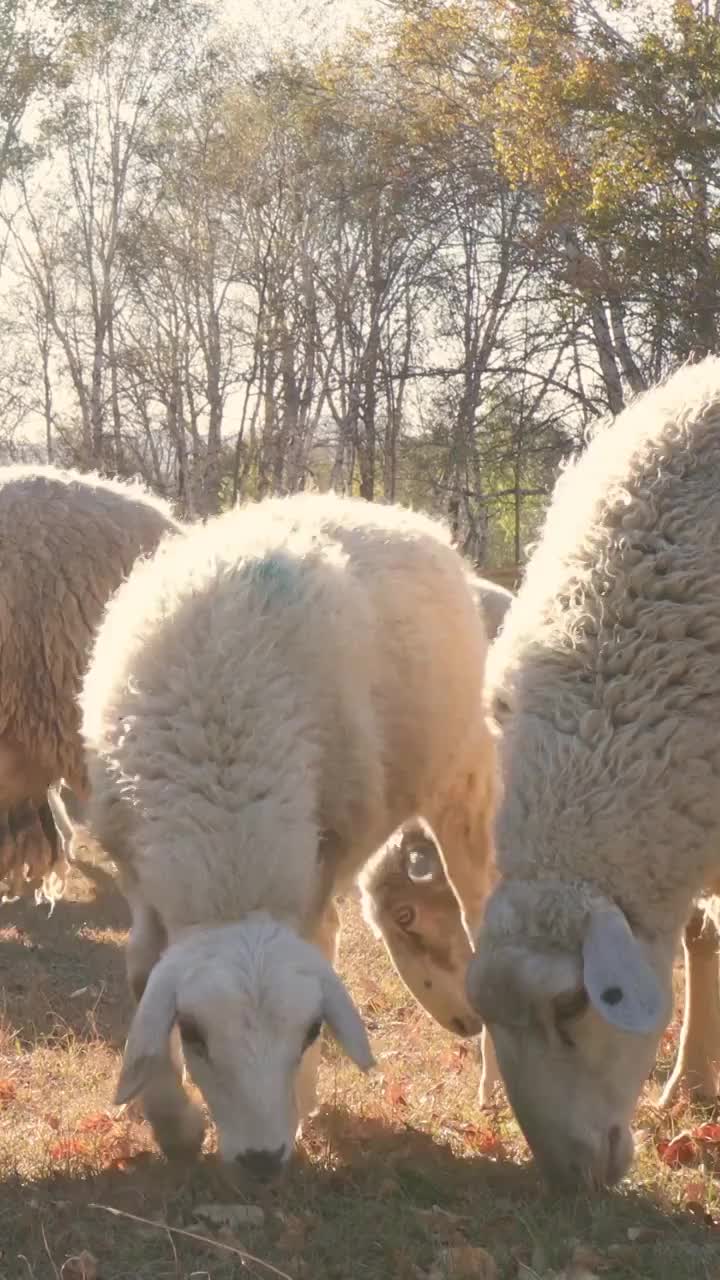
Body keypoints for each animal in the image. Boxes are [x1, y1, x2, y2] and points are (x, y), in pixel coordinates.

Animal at [78, 488, 491, 1172]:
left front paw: (297, 1103)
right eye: (192, 1033)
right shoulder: (135, 864)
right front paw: (172, 1121)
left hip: (459, 783)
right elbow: (142, 971)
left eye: (311, 1030)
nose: (262, 1162)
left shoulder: (322, 855)